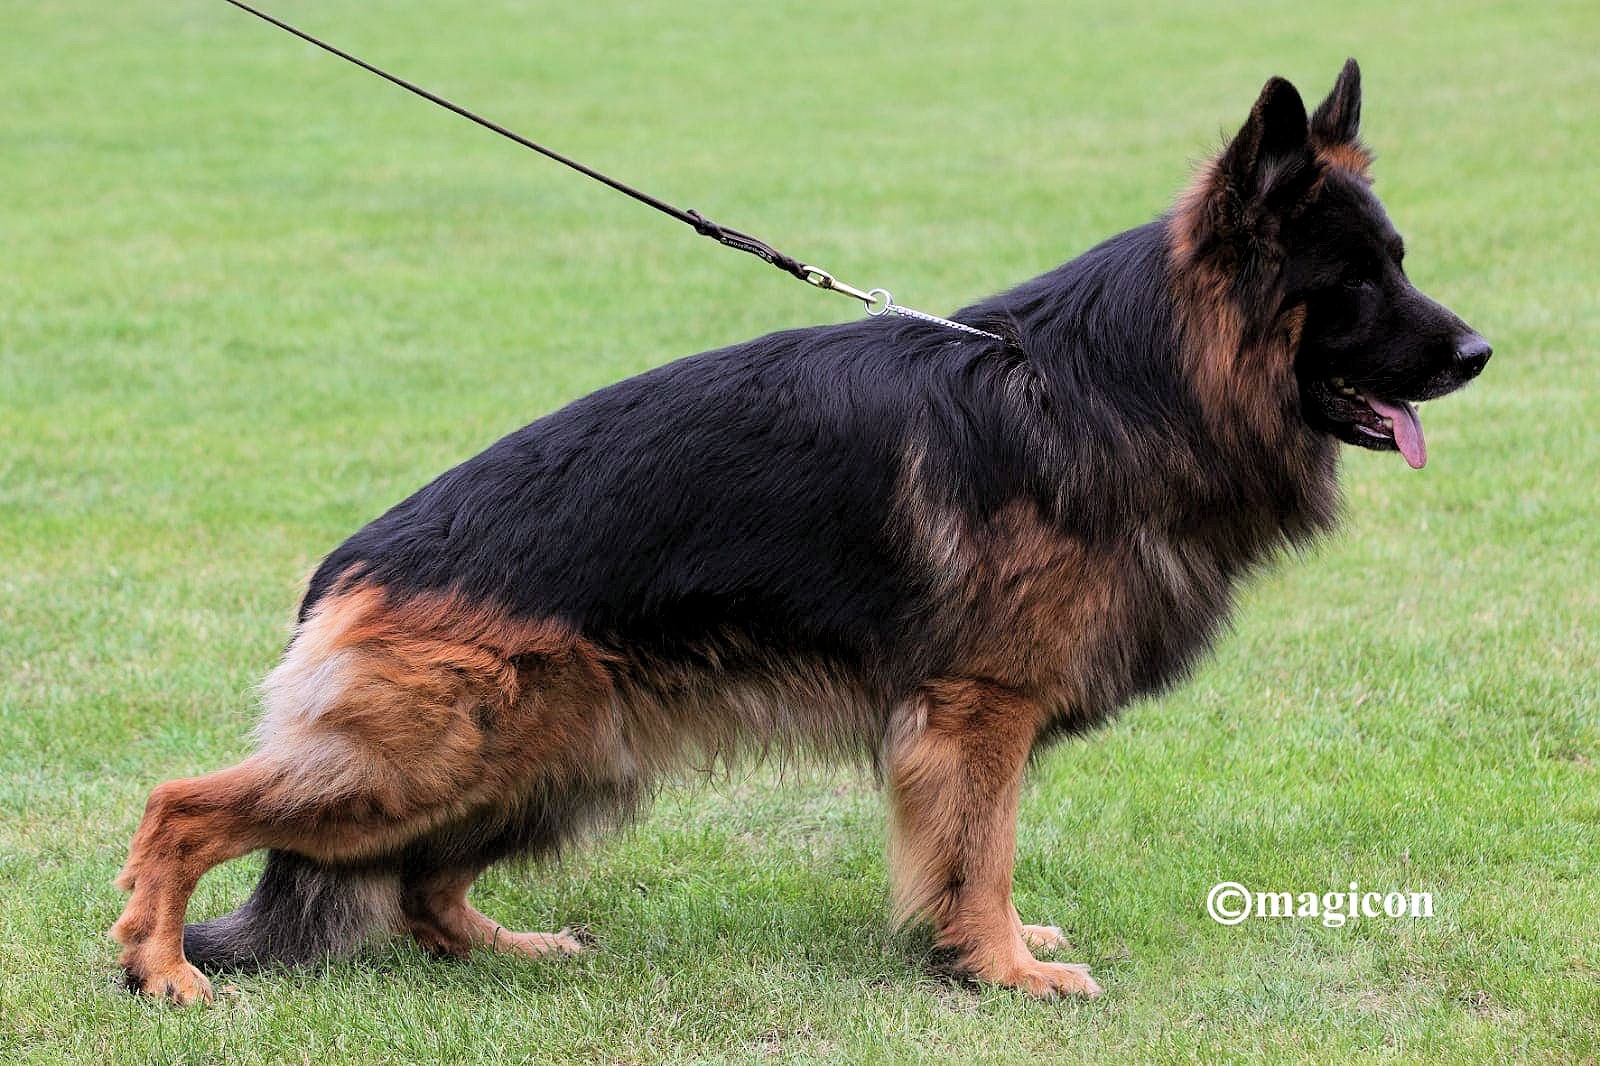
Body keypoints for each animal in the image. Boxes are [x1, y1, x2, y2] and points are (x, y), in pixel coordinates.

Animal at [109, 62, 1484, 998]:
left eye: (1400, 262)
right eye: (1355, 283)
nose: (1479, 351)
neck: (1116, 384)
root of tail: (346, 565)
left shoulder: (967, 723)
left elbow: (970, 854)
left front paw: (983, 948)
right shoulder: (978, 712)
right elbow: (981, 850)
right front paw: (1002, 967)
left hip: (552, 758)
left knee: (421, 886)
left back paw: (507, 945)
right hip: (436, 758)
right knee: (186, 806)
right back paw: (163, 966)